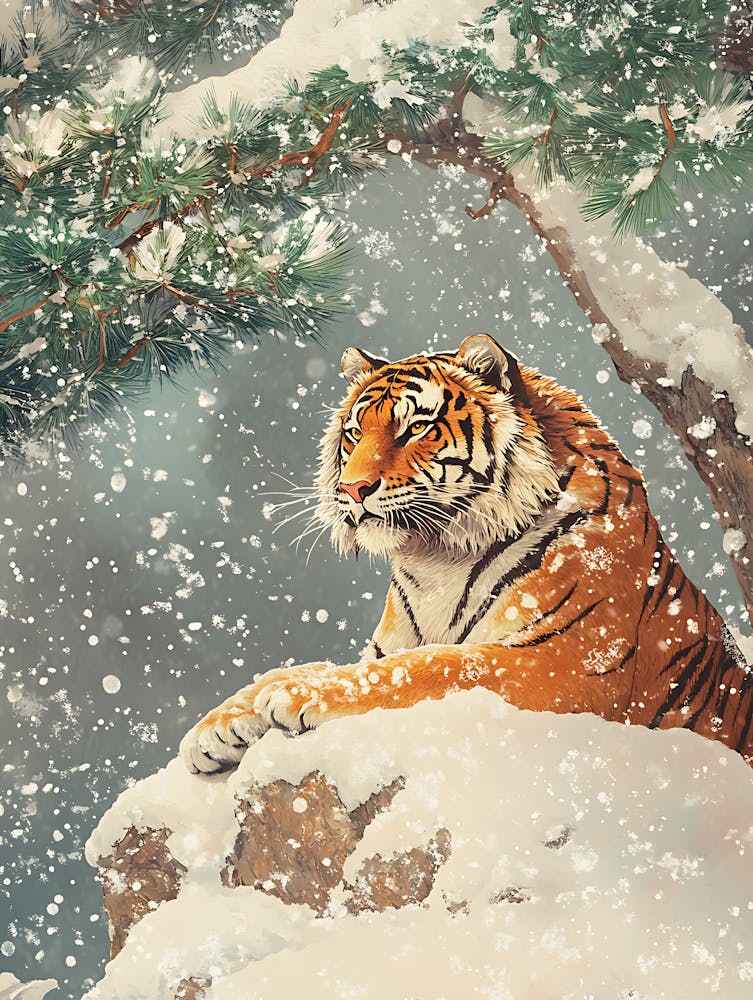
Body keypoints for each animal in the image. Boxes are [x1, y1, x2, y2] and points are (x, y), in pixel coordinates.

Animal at [180, 334, 753, 773]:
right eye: (353, 433)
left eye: (416, 428)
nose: (352, 488)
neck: (436, 557)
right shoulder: (385, 646)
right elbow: (307, 664)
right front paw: (216, 727)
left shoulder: (558, 663)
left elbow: (433, 666)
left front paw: (296, 696)